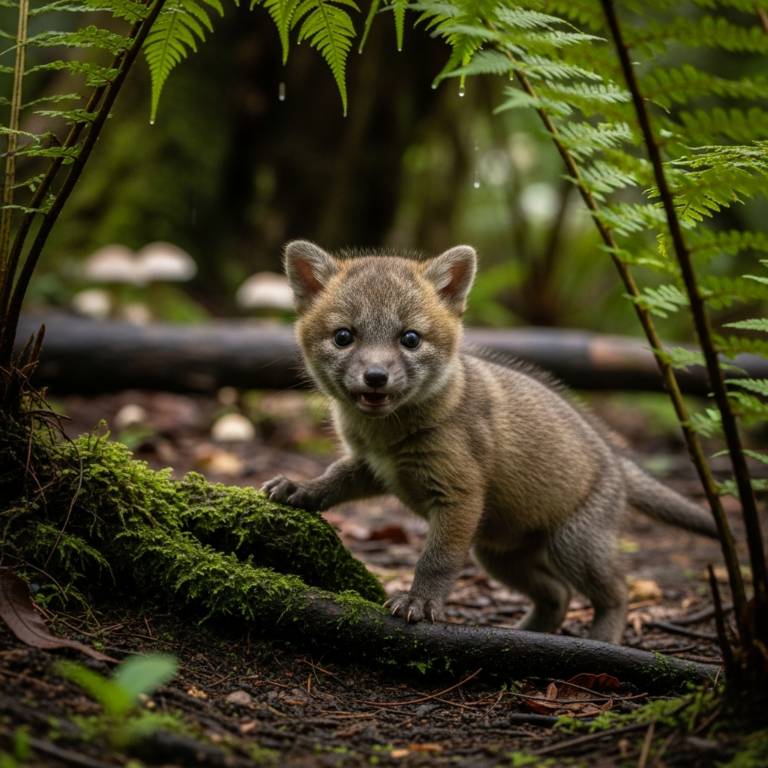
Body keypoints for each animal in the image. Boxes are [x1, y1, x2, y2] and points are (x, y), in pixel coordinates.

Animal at [262, 240, 719, 645]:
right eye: (344, 336)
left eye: (410, 339)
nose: (376, 377)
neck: (386, 437)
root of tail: (616, 457)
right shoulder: (371, 466)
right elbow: (332, 479)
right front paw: (297, 489)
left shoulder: (459, 496)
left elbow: (437, 560)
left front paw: (419, 602)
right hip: (498, 553)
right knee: (558, 595)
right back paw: (526, 636)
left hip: (573, 545)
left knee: (617, 591)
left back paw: (602, 641)